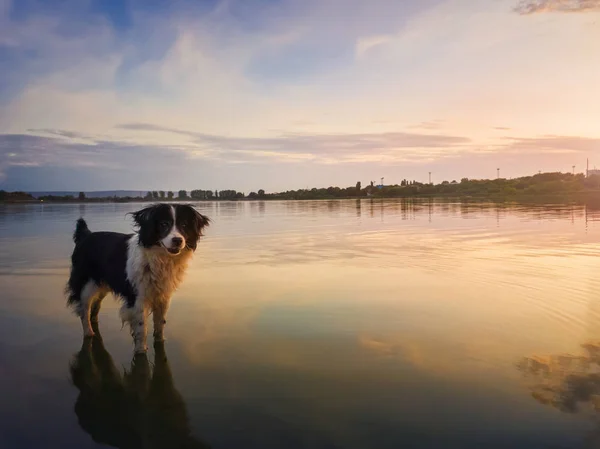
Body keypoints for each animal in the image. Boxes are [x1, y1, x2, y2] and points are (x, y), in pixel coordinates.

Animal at [65, 203, 210, 354]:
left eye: (184, 225)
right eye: (164, 224)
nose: (177, 240)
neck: (159, 258)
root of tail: (86, 235)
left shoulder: (163, 296)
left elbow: (160, 324)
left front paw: (160, 343)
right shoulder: (138, 298)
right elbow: (141, 328)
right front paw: (141, 351)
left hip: (102, 285)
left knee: (95, 307)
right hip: (86, 285)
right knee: (84, 309)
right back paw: (89, 333)